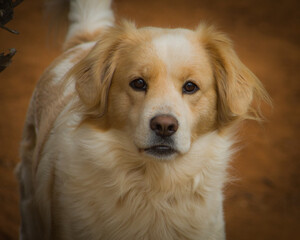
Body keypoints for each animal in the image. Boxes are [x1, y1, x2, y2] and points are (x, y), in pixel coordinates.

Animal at [15, 0, 270, 240]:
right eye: (138, 83)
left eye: (190, 87)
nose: (165, 126)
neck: (155, 185)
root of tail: (87, 40)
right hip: (29, 201)